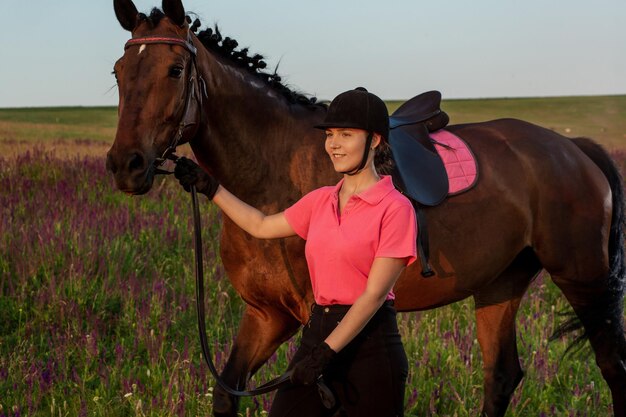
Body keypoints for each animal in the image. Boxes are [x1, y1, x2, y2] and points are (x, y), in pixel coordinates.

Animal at [107, 1, 624, 414]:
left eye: (175, 70)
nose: (125, 165)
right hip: (501, 283)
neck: (270, 171)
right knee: (501, 377)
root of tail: (573, 148)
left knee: (611, 365)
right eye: (118, 72)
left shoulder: (302, 321)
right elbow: (227, 390)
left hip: (582, 277)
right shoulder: (266, 315)